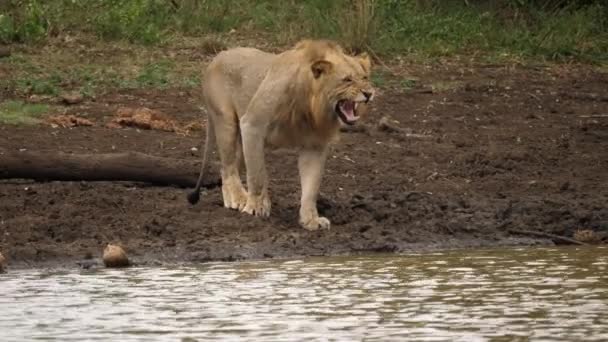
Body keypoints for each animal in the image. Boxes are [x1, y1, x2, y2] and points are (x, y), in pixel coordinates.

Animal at [188, 40, 372, 231]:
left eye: (365, 77)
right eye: (347, 79)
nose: (369, 93)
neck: (311, 106)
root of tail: (218, 56)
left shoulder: (315, 145)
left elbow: (311, 188)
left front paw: (311, 220)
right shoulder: (252, 125)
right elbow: (258, 175)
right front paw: (256, 209)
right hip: (226, 120)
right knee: (228, 167)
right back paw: (238, 199)